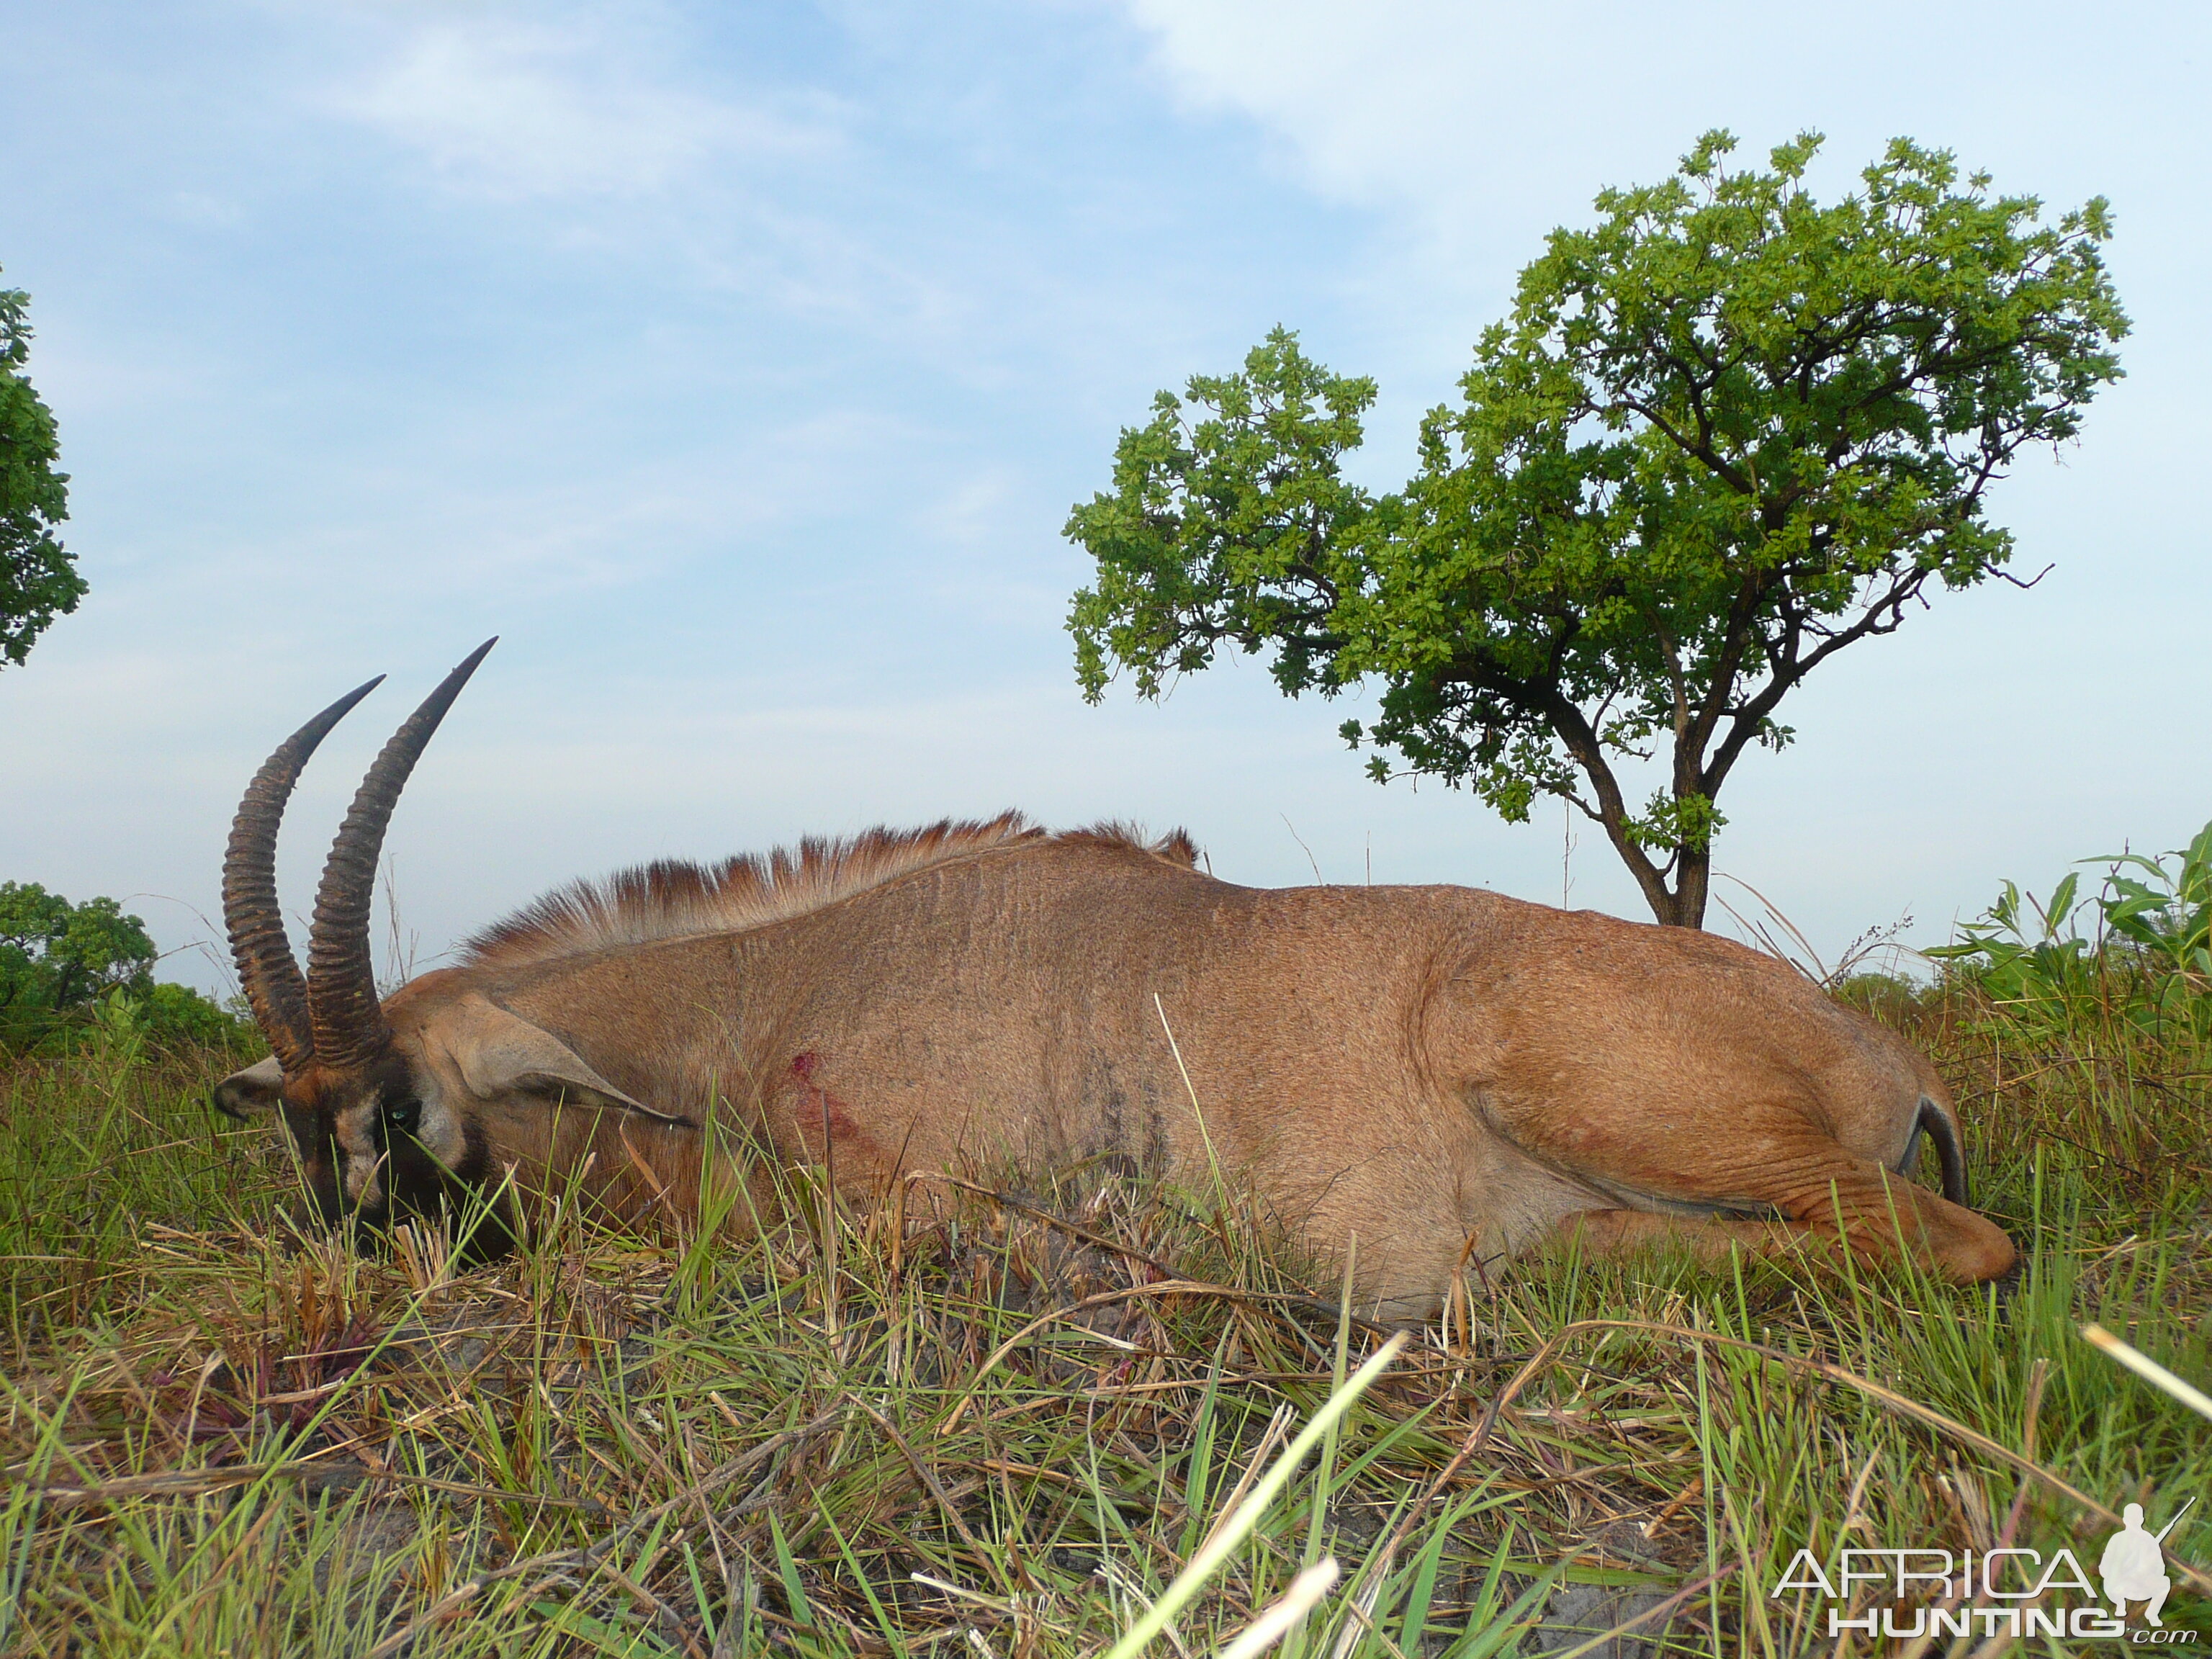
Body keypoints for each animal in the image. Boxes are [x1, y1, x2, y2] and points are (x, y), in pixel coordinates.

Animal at [215, 646, 2017, 1309]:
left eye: (402, 1115)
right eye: (293, 1126)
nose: (344, 1287)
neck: (772, 1000)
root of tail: (1890, 1057)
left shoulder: (915, 1201)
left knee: (1954, 1246)